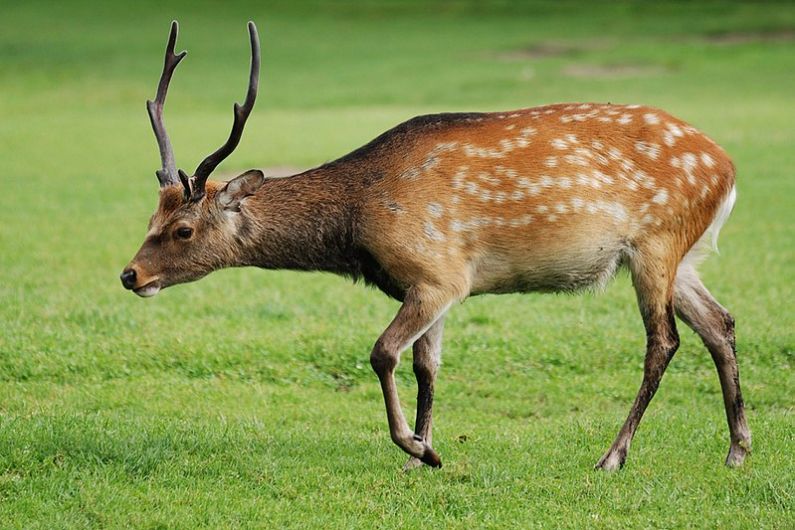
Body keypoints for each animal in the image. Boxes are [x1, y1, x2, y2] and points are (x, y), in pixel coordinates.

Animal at [119, 20, 752, 468]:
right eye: (151, 214)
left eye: (183, 230)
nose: (130, 275)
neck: (357, 223)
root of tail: (727, 168)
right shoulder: (433, 285)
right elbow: (427, 364)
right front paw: (423, 454)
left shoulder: (438, 272)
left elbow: (383, 353)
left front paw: (417, 448)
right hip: (681, 254)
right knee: (719, 323)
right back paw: (738, 450)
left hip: (656, 242)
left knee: (664, 340)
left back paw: (612, 457)